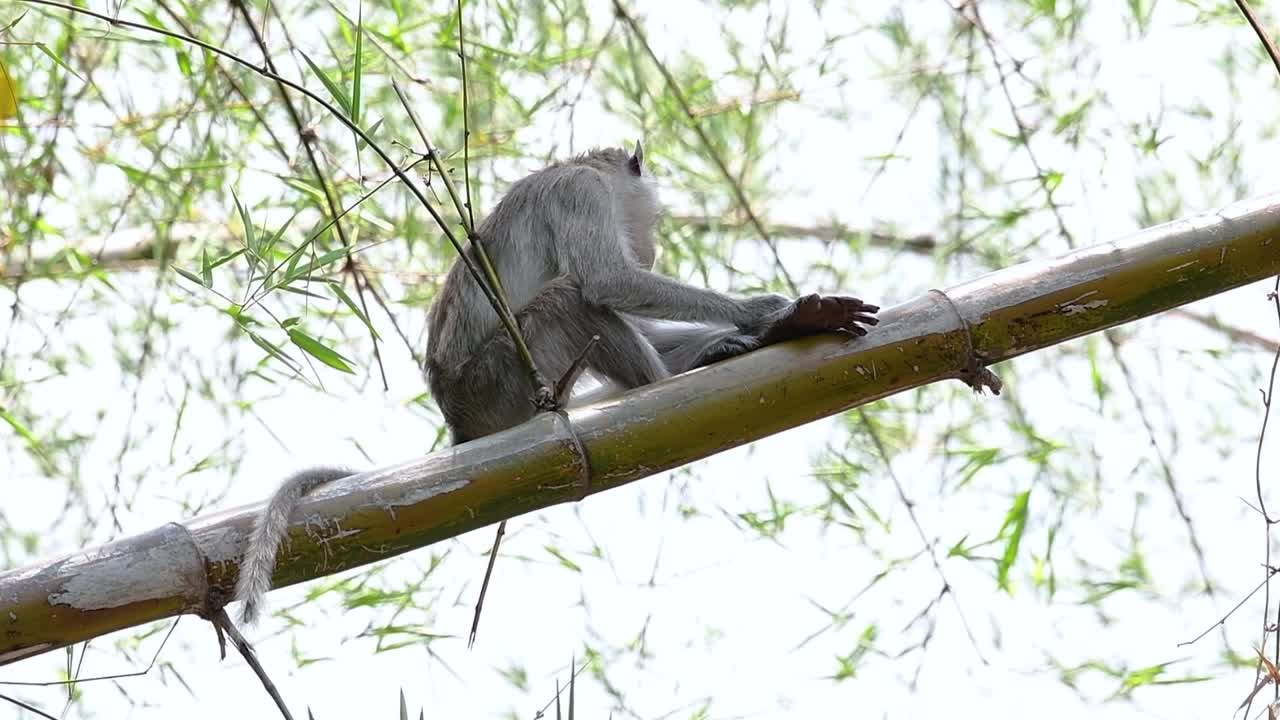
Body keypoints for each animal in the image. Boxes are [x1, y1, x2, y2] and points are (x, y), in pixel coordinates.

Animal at [232, 143, 879, 625]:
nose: (655, 245)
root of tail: (460, 423)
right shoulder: (580, 193)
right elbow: (608, 281)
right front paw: (770, 315)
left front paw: (768, 326)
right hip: (503, 380)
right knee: (571, 296)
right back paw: (659, 384)